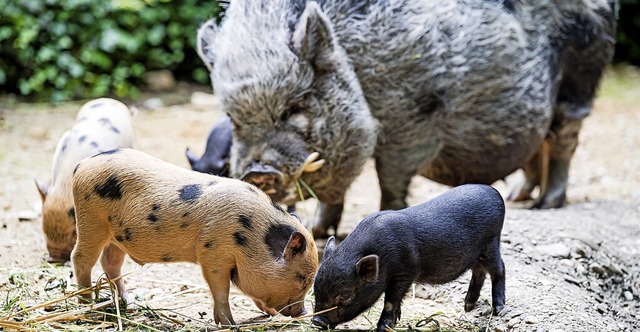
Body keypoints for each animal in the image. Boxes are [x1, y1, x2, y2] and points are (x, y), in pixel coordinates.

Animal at [71, 149, 318, 326]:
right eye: (303, 279)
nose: (303, 311)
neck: (252, 234)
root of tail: (81, 166)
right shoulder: (212, 252)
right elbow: (221, 291)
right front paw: (230, 325)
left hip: (116, 236)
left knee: (111, 263)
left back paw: (127, 303)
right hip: (90, 222)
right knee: (81, 258)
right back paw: (86, 302)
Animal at [198, 1, 616, 237]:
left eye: (297, 105)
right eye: (233, 117)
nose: (258, 171)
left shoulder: (412, 120)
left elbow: (390, 179)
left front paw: (386, 215)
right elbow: (336, 194)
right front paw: (315, 230)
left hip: (581, 77)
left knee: (564, 141)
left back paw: (547, 205)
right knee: (536, 147)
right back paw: (519, 198)